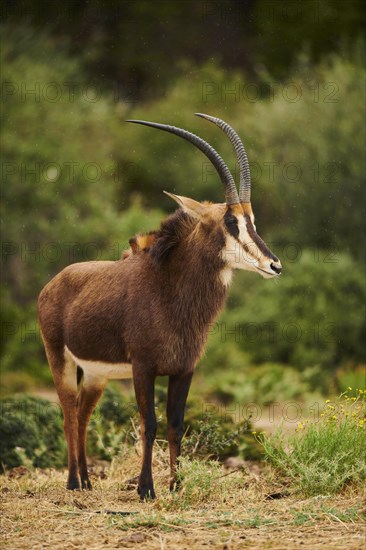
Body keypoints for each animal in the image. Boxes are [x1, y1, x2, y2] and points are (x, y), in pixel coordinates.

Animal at [37, 114, 282, 502]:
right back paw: (74, 482)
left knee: (83, 415)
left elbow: (176, 425)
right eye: (230, 222)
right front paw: (146, 488)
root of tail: (53, 282)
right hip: (58, 358)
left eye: (252, 220)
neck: (169, 287)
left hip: (95, 375)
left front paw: (176, 485)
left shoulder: (184, 370)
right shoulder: (144, 368)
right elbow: (149, 424)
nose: (274, 265)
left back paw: (88, 481)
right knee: (68, 411)